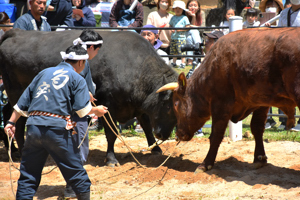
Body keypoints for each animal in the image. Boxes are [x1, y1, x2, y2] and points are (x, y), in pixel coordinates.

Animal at [0, 28, 178, 166]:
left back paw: (13, 151)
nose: (163, 135)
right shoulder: (108, 105)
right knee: (19, 121)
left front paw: (156, 148)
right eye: (170, 107)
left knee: (7, 113)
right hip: (17, 93)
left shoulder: (138, 105)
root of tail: (17, 32)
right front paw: (111, 159)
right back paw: (22, 151)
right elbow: (111, 133)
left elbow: (146, 125)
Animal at [157, 27, 300, 173]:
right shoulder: (261, 102)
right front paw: (259, 158)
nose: (178, 135)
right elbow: (257, 128)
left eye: (175, 104)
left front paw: (206, 163)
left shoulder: (220, 104)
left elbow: (216, 135)